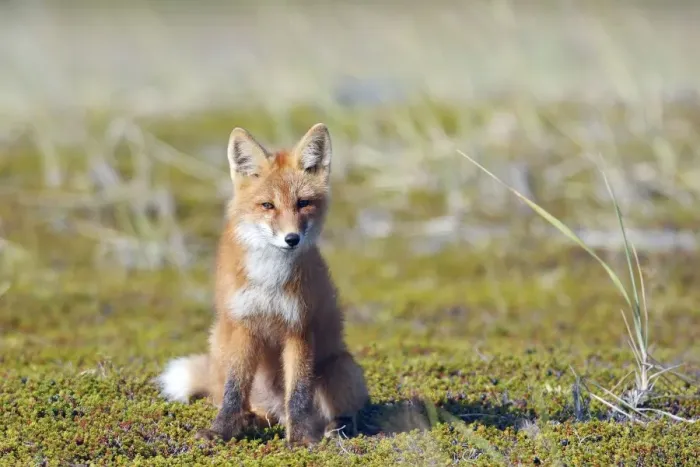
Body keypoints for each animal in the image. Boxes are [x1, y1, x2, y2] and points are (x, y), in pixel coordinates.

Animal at [156, 123, 369, 446]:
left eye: (303, 203)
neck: (270, 280)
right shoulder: (244, 325)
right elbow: (233, 392)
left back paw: (334, 428)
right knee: (244, 403)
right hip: (220, 341)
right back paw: (251, 421)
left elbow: (299, 394)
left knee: (340, 411)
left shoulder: (299, 327)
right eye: (267, 205)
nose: (292, 239)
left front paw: (301, 439)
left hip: (340, 368)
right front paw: (221, 431)